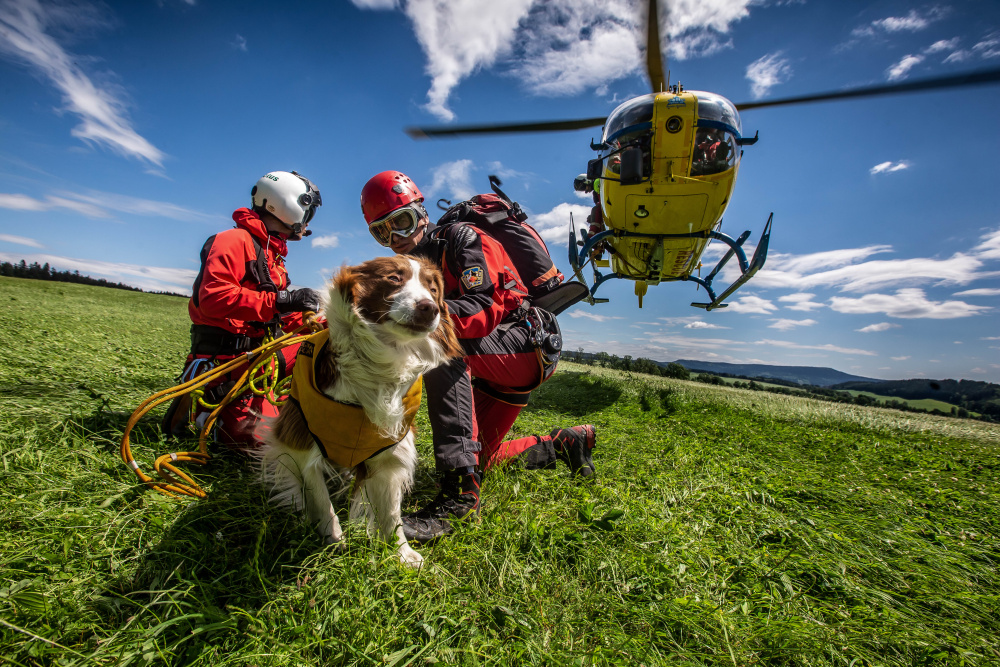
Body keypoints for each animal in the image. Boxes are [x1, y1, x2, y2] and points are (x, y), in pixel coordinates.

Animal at [256, 258, 462, 568]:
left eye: (433, 288)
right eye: (393, 278)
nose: (429, 307)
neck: (381, 364)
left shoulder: (390, 452)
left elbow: (391, 513)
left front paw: (402, 554)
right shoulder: (300, 440)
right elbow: (319, 497)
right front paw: (332, 539)